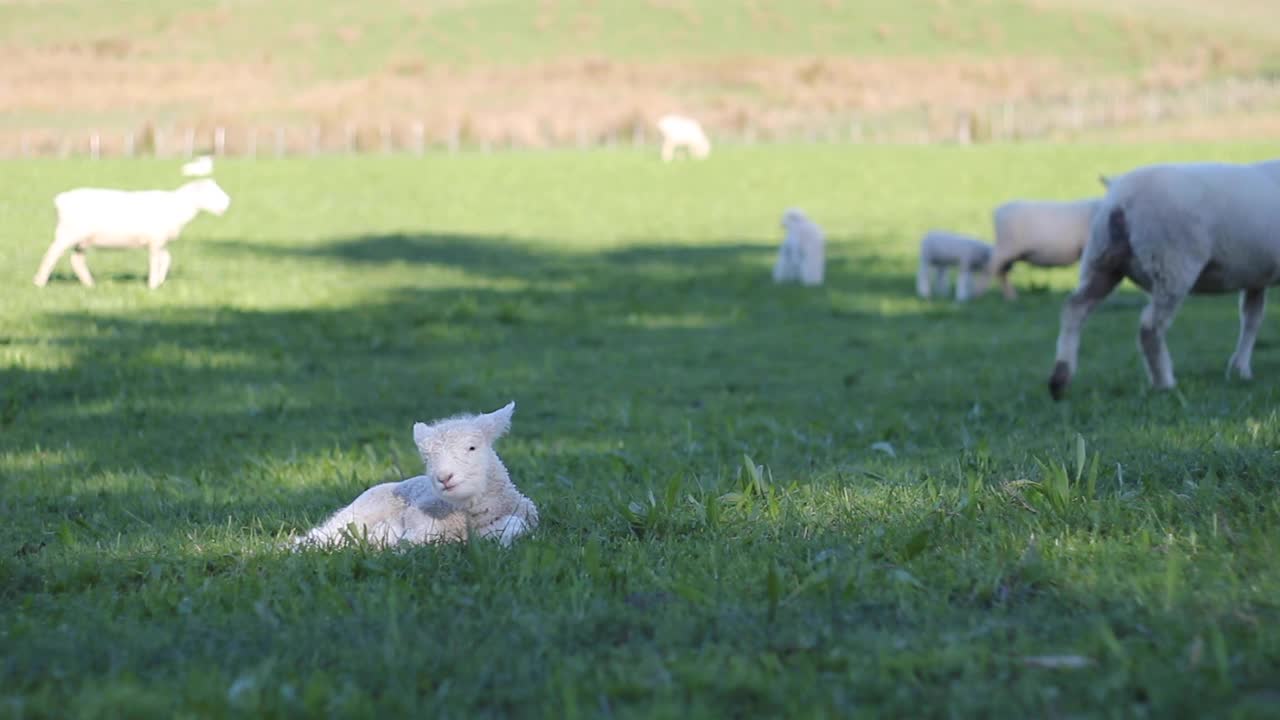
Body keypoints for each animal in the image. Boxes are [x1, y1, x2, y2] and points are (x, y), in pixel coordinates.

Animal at [33, 176, 232, 288]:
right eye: (211, 192)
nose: (227, 204)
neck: (179, 206)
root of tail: (60, 199)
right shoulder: (155, 240)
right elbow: (155, 261)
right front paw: (152, 284)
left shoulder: (160, 241)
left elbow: (167, 259)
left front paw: (159, 282)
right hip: (66, 234)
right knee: (50, 256)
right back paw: (39, 282)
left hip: (81, 240)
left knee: (77, 261)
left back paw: (90, 285)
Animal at [294, 399, 540, 545]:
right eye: (427, 458)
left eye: (472, 448)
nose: (444, 477)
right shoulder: (420, 516)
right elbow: (416, 536)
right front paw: (392, 539)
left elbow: (513, 526)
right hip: (356, 513)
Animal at [1049, 157, 1280, 399]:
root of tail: (1122, 197)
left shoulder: (1257, 277)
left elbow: (1251, 319)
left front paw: (1239, 369)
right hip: (1170, 264)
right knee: (1149, 328)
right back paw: (1164, 382)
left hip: (1100, 259)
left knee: (1074, 309)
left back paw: (1060, 379)